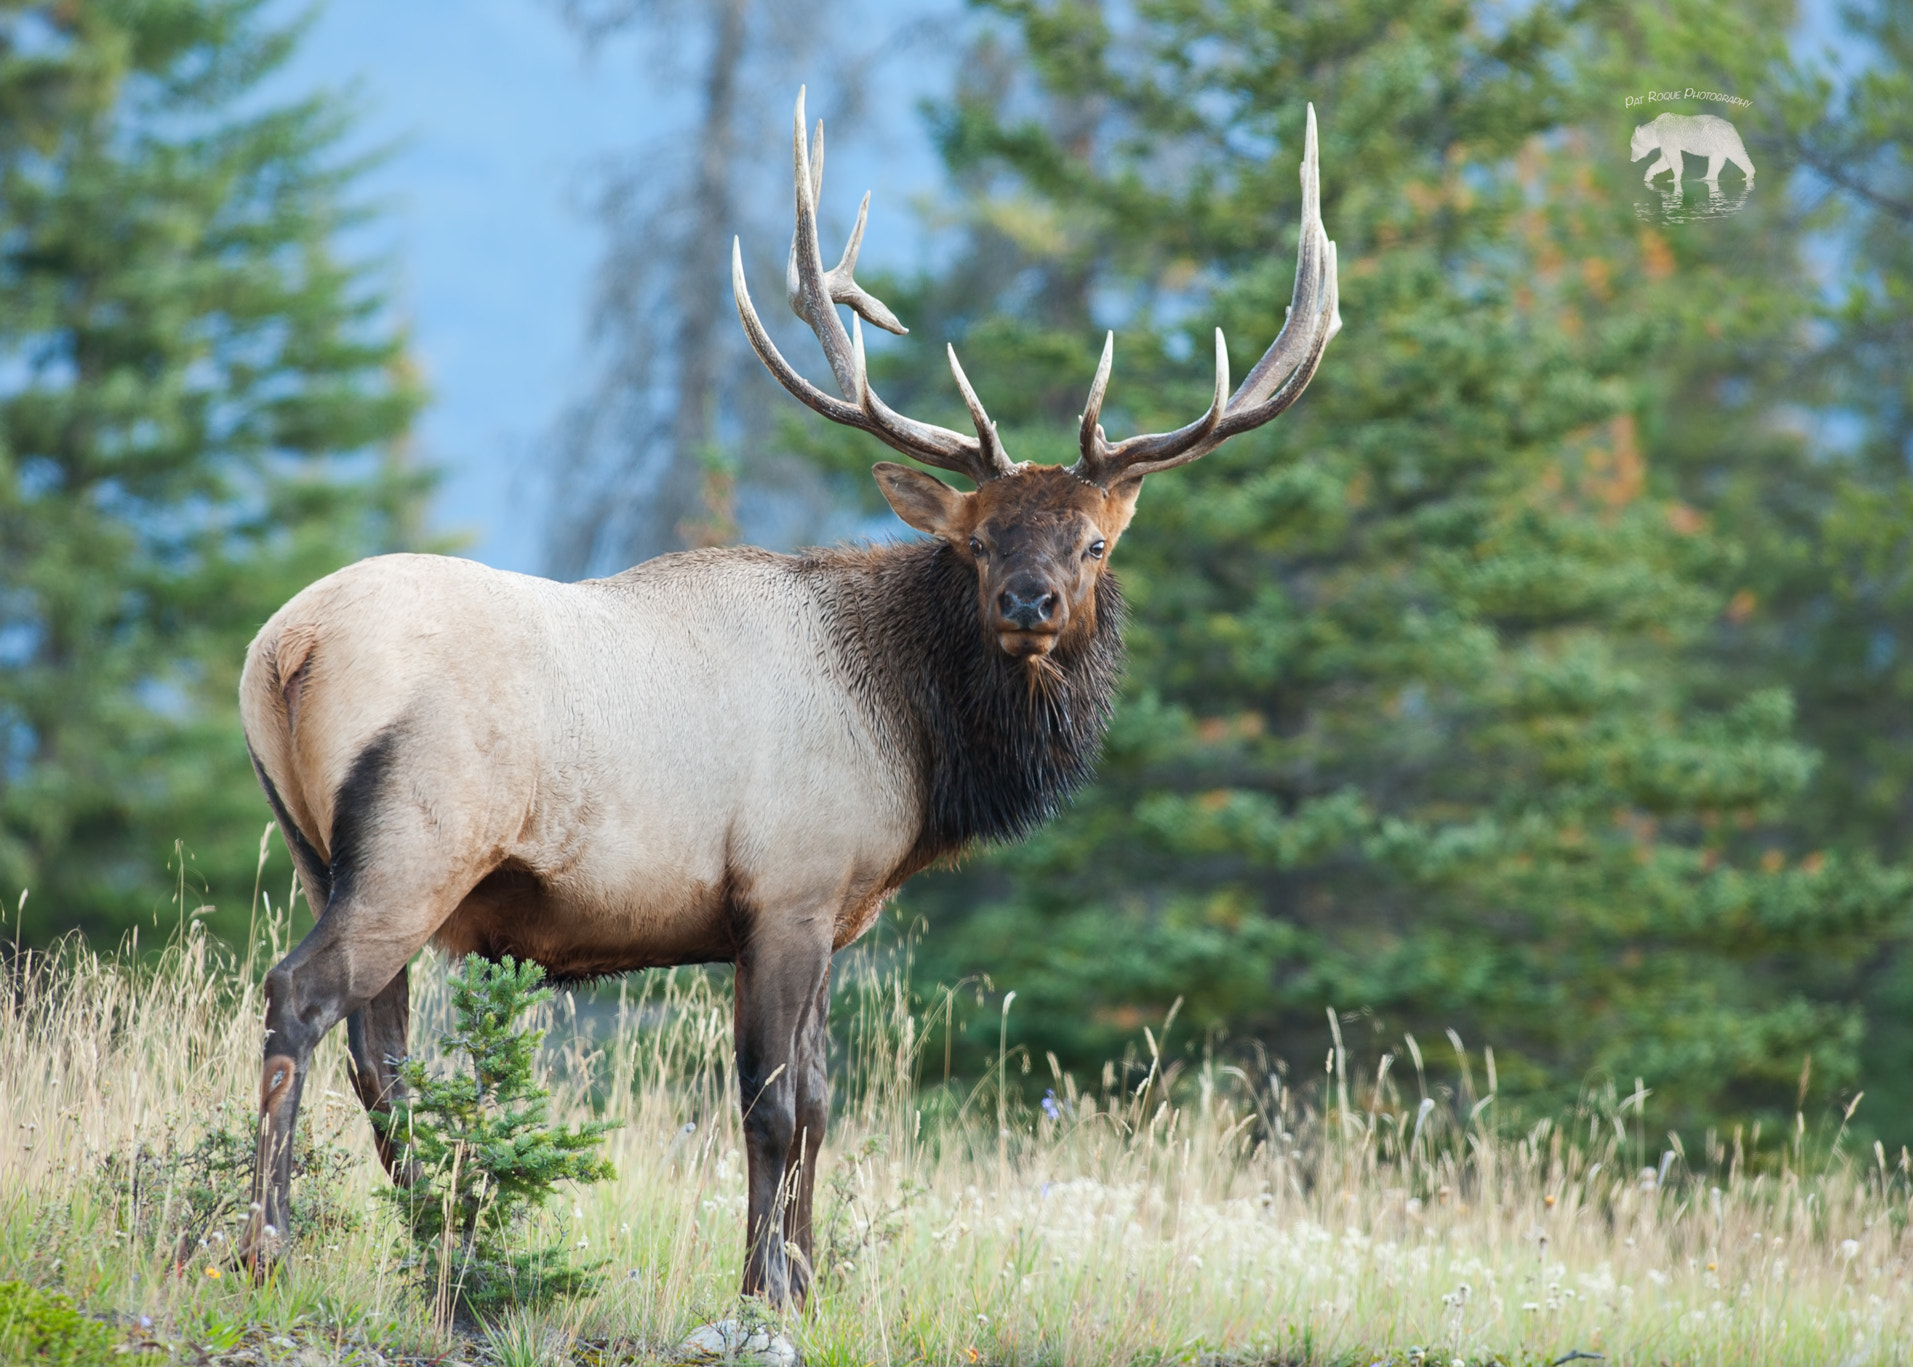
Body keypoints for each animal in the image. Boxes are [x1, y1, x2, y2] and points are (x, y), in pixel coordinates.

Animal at [239, 90, 1339, 1307]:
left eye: (1092, 541)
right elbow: (770, 1107)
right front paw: (763, 1285)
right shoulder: (788, 891)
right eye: (977, 538)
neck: (915, 743)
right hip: (417, 841)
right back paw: (268, 1243)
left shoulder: (829, 911)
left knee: (378, 1051)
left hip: (321, 851)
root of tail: (285, 647)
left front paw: (806, 1280)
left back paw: (447, 1250)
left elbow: (817, 1101)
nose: (1029, 600)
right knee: (301, 997)